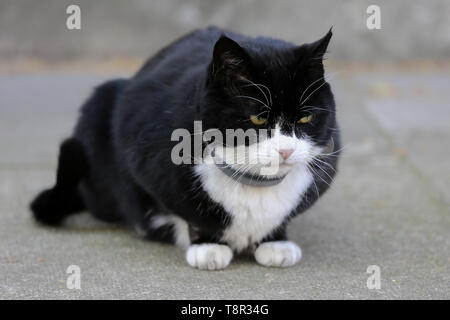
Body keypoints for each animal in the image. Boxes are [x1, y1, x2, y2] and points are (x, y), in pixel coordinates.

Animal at [30, 26, 342, 268]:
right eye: (258, 118)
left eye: (305, 117)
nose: (286, 151)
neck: (253, 185)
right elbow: (187, 210)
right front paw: (207, 246)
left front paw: (276, 241)